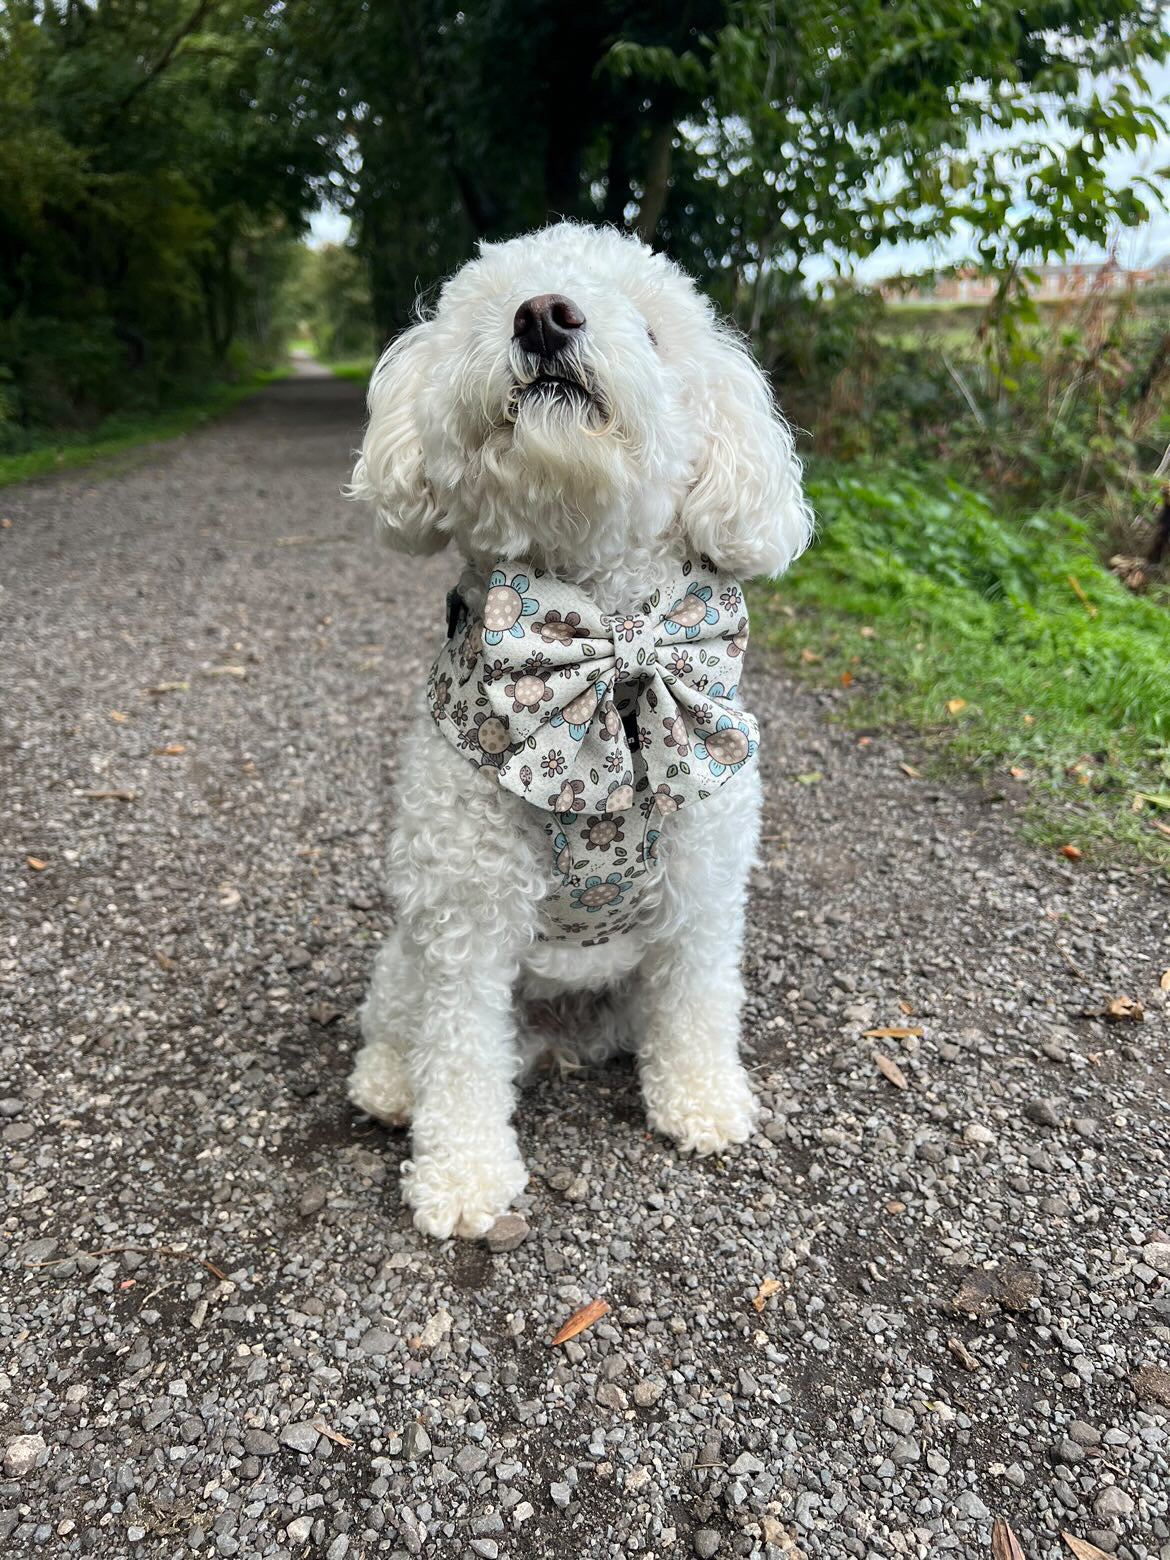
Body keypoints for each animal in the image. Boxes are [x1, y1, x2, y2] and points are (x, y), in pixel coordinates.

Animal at [343, 223, 811, 1241]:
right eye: (492, 303)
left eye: (653, 327)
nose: (545, 315)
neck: (606, 646)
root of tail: (558, 1036)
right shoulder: (465, 915)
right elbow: (459, 1052)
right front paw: (464, 1180)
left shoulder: (703, 893)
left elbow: (699, 1002)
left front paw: (703, 1103)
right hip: (409, 949)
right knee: (404, 1023)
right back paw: (390, 1085)